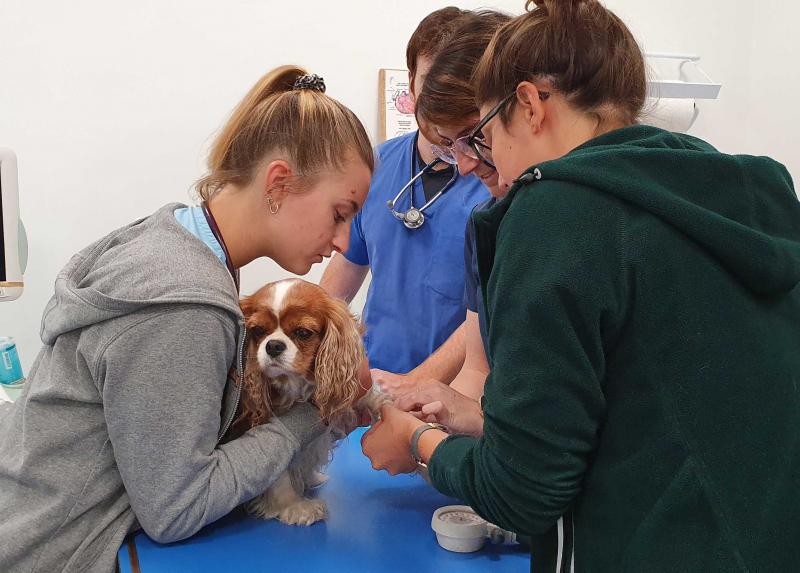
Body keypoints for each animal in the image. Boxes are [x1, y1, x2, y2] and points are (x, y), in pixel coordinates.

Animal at [231, 280, 382, 524]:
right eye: (258, 331)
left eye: (302, 333)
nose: (273, 345)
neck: (298, 385)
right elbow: (280, 472)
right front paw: (295, 507)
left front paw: (381, 403)